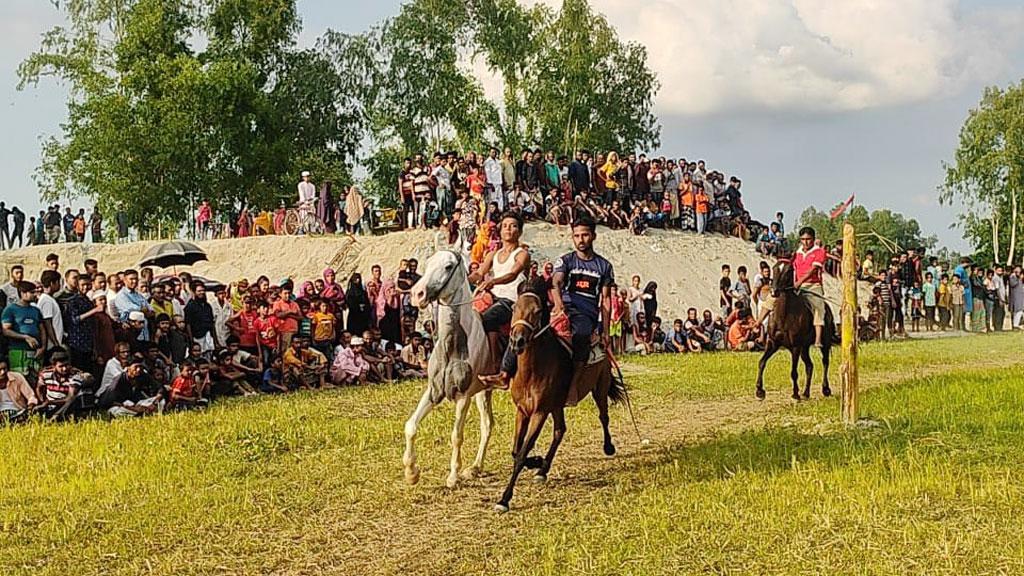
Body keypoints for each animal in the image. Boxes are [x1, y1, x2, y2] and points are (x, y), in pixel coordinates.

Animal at [491, 278, 618, 510]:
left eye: (538, 310)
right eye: (514, 308)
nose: (517, 341)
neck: (533, 370)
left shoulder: (539, 412)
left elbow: (522, 453)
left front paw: (504, 499)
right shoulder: (522, 411)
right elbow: (516, 451)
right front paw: (537, 461)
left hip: (600, 387)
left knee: (603, 416)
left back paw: (608, 447)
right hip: (557, 405)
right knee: (560, 430)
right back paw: (542, 470)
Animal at [757, 259, 835, 399]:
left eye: (789, 270)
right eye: (774, 268)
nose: (774, 291)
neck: (784, 315)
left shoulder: (795, 347)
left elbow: (793, 372)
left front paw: (795, 393)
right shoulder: (773, 343)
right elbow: (762, 362)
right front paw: (760, 391)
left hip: (824, 344)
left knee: (825, 362)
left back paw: (825, 389)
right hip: (804, 348)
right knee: (809, 366)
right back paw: (806, 392)